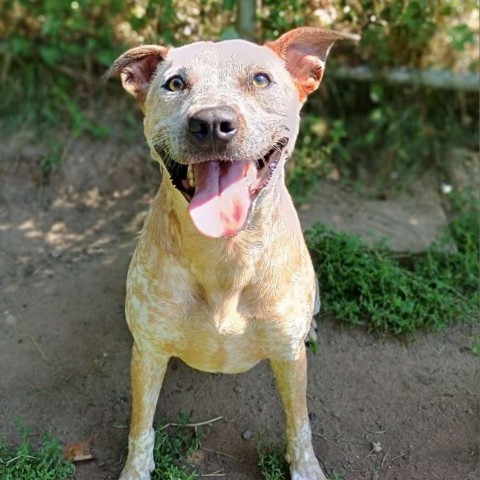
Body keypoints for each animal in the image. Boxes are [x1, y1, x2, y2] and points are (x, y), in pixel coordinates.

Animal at [108, 27, 356, 480]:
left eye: (260, 79)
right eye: (175, 83)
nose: (211, 123)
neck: (226, 253)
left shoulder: (289, 359)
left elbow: (299, 422)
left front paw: (306, 467)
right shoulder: (148, 354)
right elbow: (140, 424)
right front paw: (135, 470)